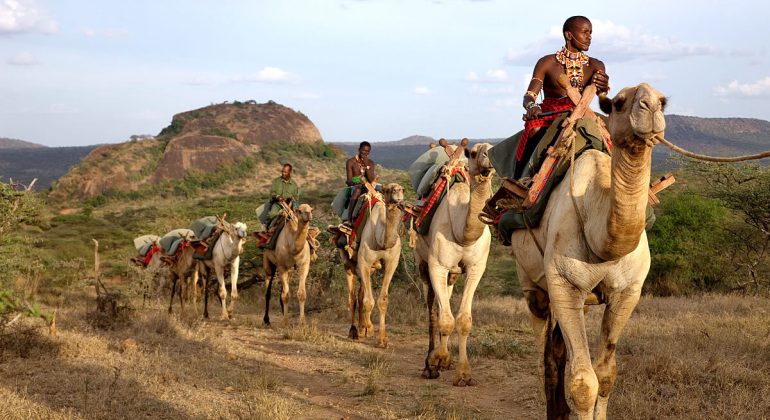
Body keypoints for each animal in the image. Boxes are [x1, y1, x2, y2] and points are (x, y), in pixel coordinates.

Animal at [340, 184, 404, 348]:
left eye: (402, 189)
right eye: (388, 190)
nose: (397, 192)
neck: (380, 239)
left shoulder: (391, 264)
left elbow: (382, 300)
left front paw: (381, 339)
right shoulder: (364, 262)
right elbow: (368, 301)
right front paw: (368, 329)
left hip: (372, 269)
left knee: (361, 293)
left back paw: (364, 328)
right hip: (348, 263)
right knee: (352, 298)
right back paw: (354, 332)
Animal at [414, 142, 492, 388]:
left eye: (492, 147)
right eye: (474, 153)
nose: (488, 160)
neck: (462, 233)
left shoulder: (476, 268)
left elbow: (464, 320)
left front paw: (464, 374)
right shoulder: (436, 266)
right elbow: (445, 319)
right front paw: (437, 360)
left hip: (453, 273)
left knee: (445, 299)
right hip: (422, 262)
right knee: (432, 309)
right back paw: (430, 364)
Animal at [510, 83, 672, 418]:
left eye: (663, 101)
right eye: (619, 103)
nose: (650, 107)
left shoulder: (628, 292)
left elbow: (606, 374)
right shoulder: (564, 285)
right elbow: (583, 383)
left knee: (557, 350)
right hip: (533, 288)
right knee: (546, 356)